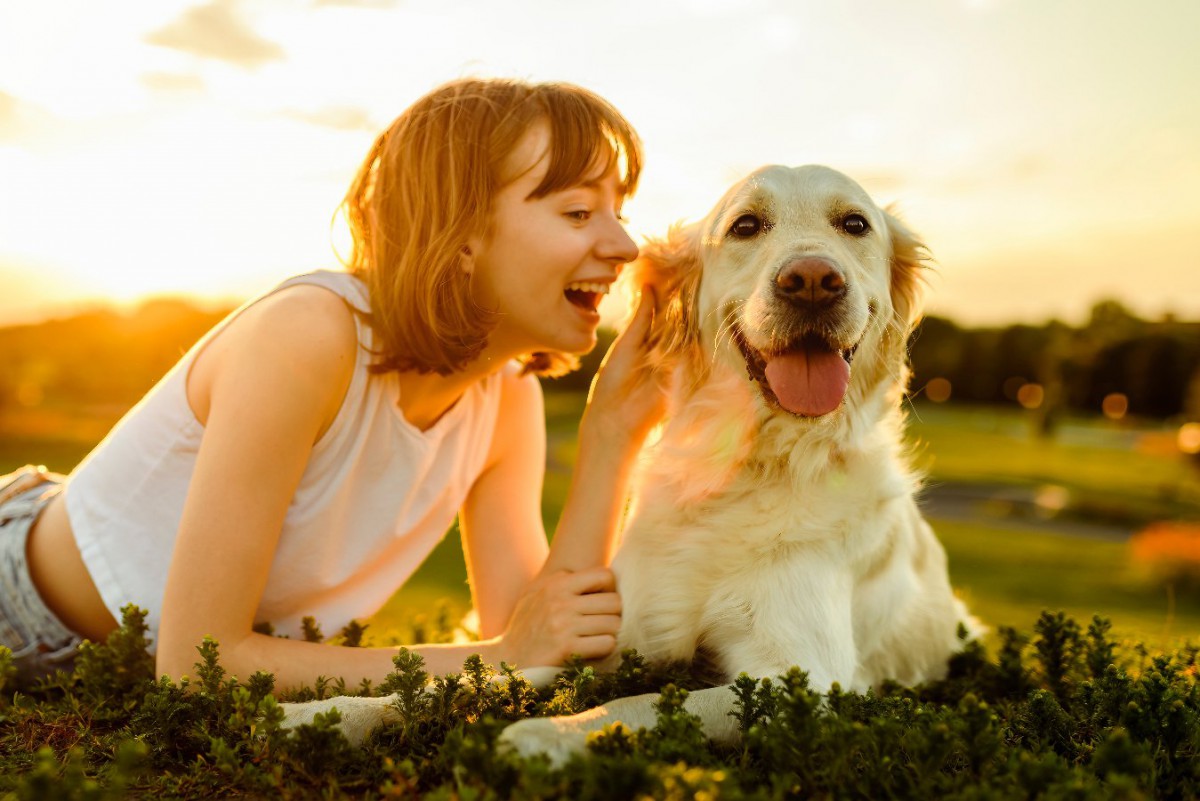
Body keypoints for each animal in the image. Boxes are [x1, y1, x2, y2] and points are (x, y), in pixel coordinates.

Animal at [283, 165, 984, 762]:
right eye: (746, 226)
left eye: (855, 224)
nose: (812, 280)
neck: (747, 469)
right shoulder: (615, 632)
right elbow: (471, 677)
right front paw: (317, 714)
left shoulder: (800, 680)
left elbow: (641, 703)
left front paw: (543, 734)